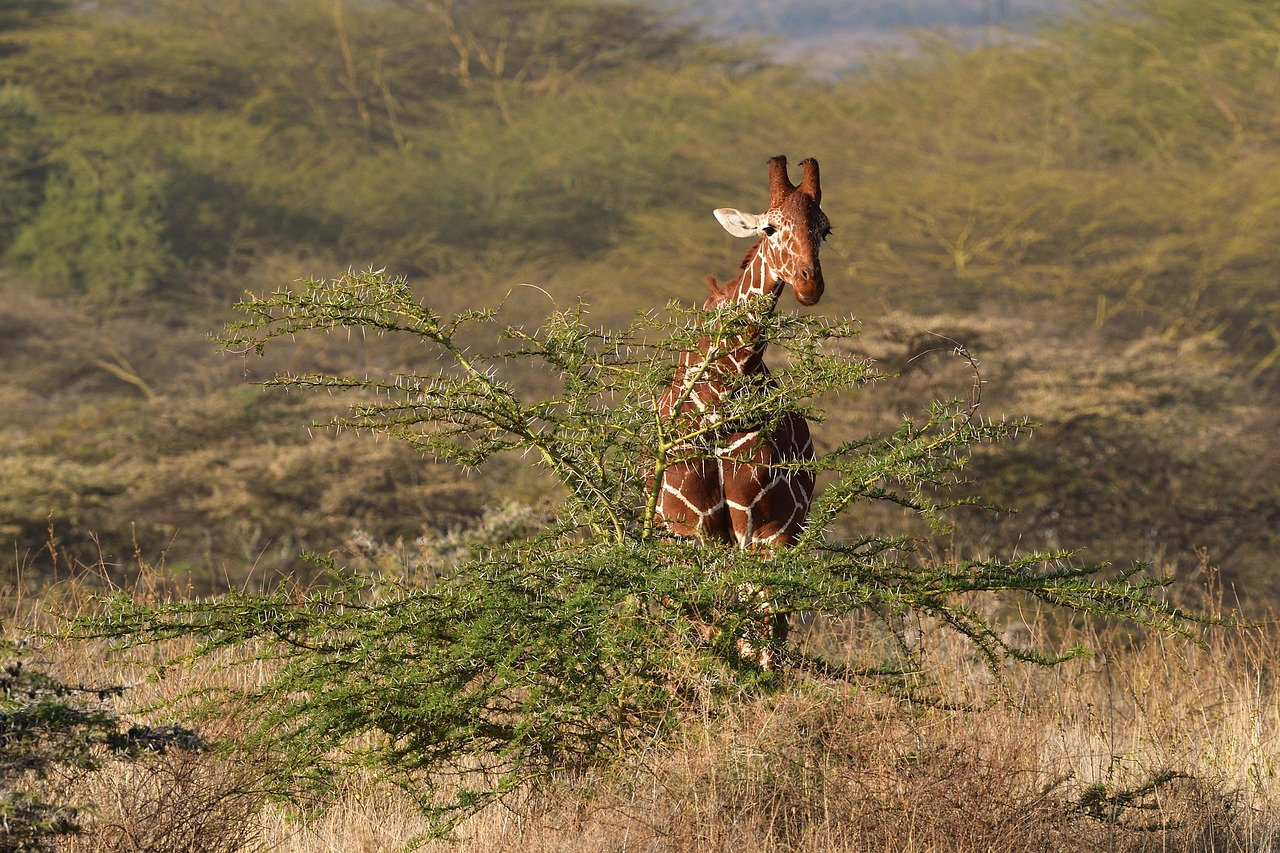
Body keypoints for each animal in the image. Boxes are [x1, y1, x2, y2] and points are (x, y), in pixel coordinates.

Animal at [655, 155, 831, 667]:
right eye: (770, 228)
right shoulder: (693, 526)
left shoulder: (770, 527)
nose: (810, 283)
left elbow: (761, 633)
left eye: (825, 229)